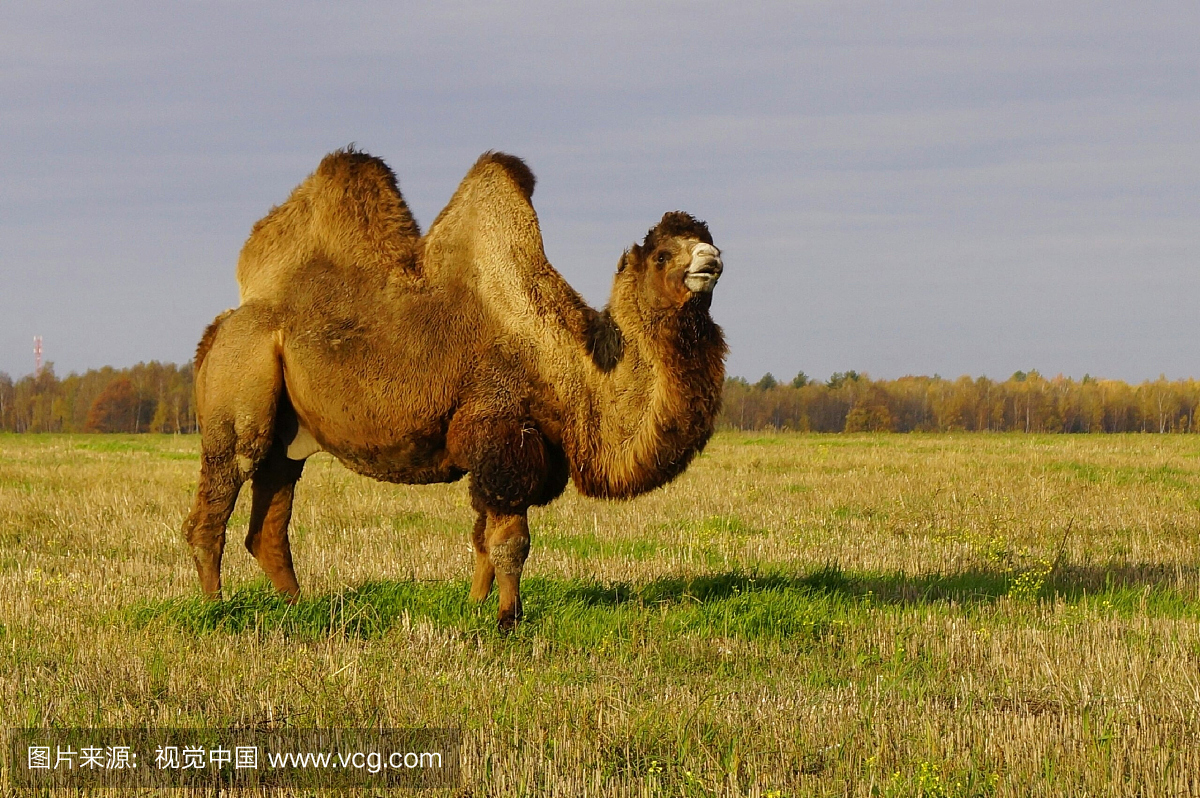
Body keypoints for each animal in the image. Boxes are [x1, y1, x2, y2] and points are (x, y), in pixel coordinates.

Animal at [183, 146, 724, 624]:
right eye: (661, 255)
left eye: (707, 237)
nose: (711, 259)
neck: (570, 364)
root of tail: (224, 323)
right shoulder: (501, 437)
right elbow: (510, 543)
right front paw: (508, 619)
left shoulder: (500, 456)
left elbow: (482, 539)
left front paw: (475, 606)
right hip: (240, 382)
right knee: (216, 504)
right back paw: (215, 609)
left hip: (288, 434)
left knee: (269, 523)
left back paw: (300, 606)